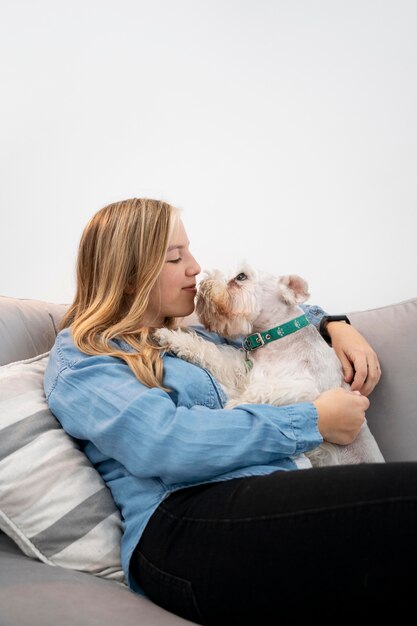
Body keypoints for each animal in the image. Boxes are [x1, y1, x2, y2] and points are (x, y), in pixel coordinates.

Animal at [155, 264, 384, 468]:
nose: (204, 285)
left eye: (241, 276)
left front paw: (234, 404)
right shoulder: (239, 370)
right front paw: (170, 337)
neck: (274, 337)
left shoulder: (303, 387)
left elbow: (262, 391)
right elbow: (210, 351)